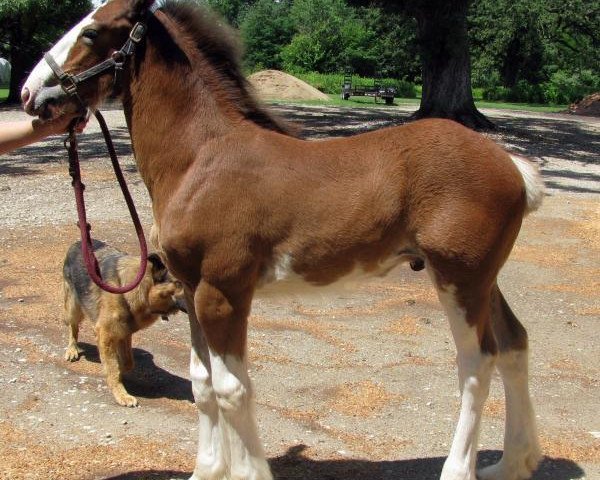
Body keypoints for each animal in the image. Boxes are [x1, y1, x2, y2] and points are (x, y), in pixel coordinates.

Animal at [62, 239, 185, 404]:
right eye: (180, 283)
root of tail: (78, 242)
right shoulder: (106, 334)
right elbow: (113, 367)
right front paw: (121, 394)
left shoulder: (124, 332)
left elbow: (126, 363)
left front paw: (119, 370)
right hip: (73, 308)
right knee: (73, 328)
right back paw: (72, 349)